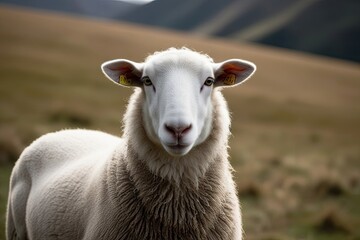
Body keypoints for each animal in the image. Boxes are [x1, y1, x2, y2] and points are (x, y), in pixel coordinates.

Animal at [4, 47, 253, 240]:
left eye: (209, 81)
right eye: (147, 81)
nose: (178, 129)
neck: (176, 213)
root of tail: (64, 132)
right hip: (16, 228)